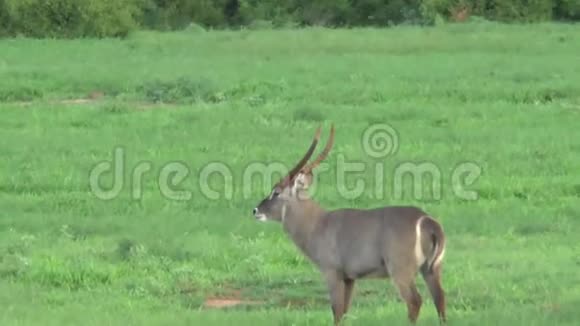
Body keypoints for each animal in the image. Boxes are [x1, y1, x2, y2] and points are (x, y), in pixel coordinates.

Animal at [251, 124, 446, 324]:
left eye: (276, 192)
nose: (256, 211)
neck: (317, 224)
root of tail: (426, 220)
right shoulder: (350, 278)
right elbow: (344, 311)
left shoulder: (332, 273)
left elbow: (336, 311)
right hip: (431, 268)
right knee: (439, 298)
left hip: (401, 270)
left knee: (415, 301)